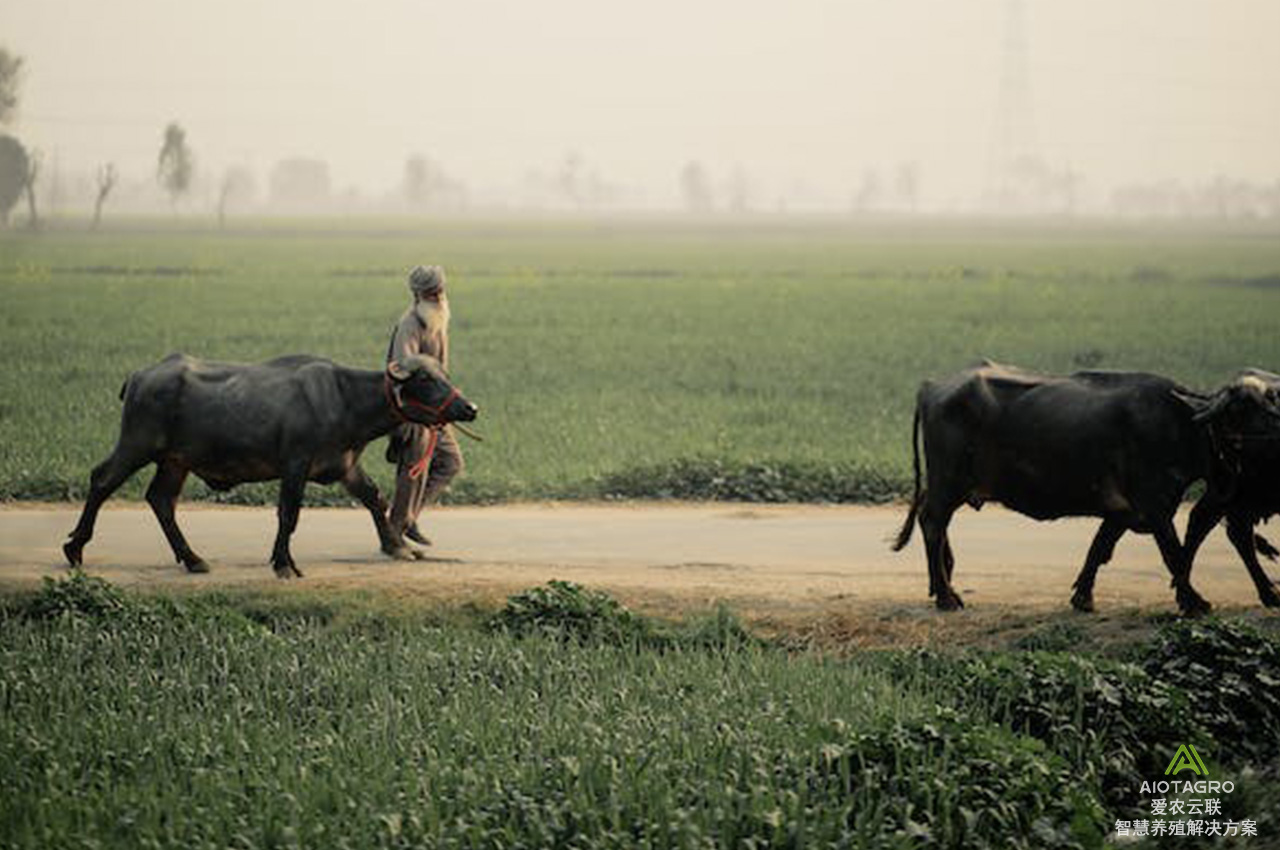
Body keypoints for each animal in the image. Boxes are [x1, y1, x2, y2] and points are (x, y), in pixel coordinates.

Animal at [62, 350, 478, 578]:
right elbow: (288, 515)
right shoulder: (295, 463)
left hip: (175, 461)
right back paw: (75, 549)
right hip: (138, 443)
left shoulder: (344, 467)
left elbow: (375, 499)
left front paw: (397, 545)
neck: (345, 399)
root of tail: (140, 376)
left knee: (161, 500)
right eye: (426, 380)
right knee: (102, 480)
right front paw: (284, 563)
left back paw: (193, 558)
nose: (470, 407)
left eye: (444, 376)